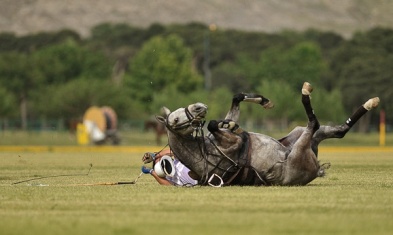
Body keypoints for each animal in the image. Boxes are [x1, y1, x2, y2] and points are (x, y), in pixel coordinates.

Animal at [157, 81, 380, 186]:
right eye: (174, 120)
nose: (199, 107)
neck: (203, 152)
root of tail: (317, 169)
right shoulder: (232, 146)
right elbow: (213, 125)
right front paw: (232, 125)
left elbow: (235, 100)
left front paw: (263, 102)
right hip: (300, 150)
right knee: (314, 123)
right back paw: (305, 92)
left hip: (298, 134)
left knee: (339, 130)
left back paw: (370, 102)